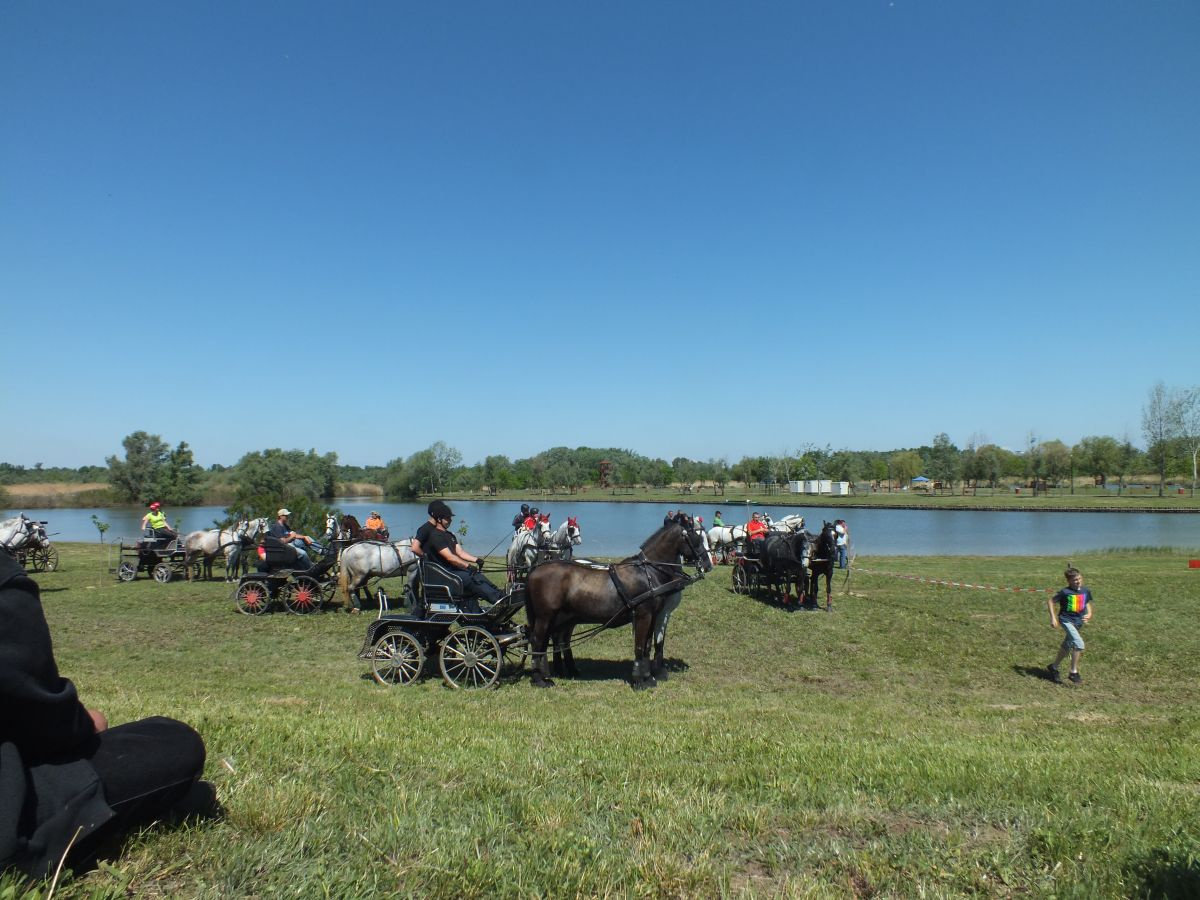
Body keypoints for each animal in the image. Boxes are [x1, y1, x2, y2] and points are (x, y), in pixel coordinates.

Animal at [528, 513, 710, 691]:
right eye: (696, 538)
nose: (708, 564)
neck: (647, 572)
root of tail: (535, 571)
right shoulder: (644, 615)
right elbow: (639, 646)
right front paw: (639, 680)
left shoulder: (654, 615)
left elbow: (647, 646)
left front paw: (648, 678)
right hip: (545, 617)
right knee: (538, 642)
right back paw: (539, 679)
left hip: (561, 618)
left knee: (551, 641)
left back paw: (554, 673)